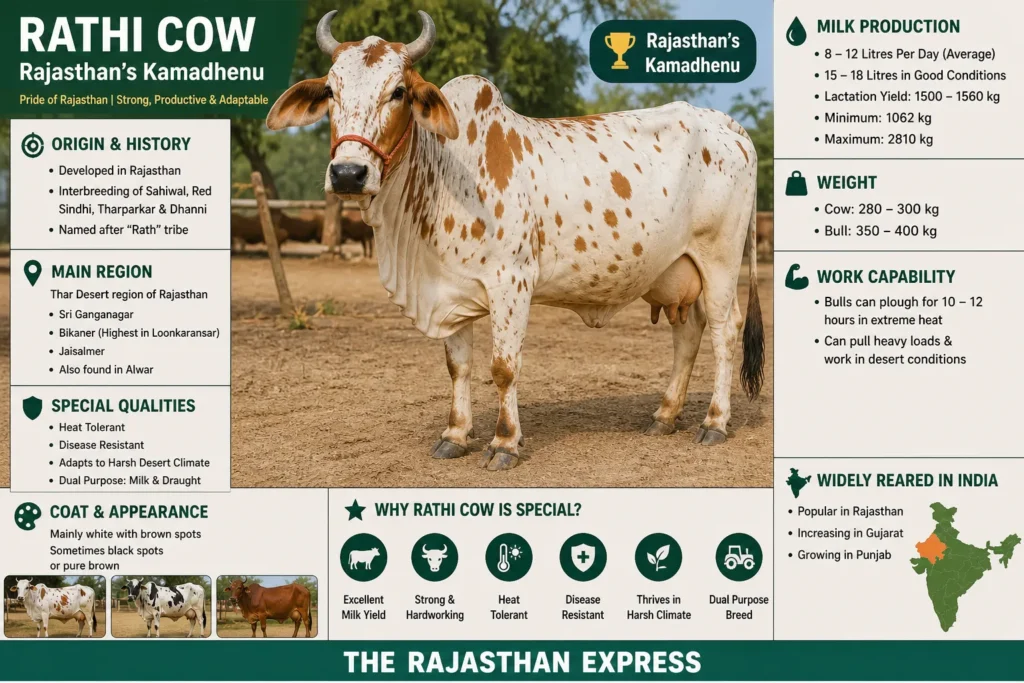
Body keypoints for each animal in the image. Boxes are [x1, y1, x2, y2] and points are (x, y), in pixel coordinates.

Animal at [266, 11, 764, 470]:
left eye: (398, 92)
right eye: (331, 91)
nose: (349, 173)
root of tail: (725, 124)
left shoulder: (512, 282)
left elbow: (503, 368)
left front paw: (504, 442)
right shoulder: (450, 287)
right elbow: (458, 366)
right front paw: (455, 434)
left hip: (719, 261)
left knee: (724, 331)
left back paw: (715, 422)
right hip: (676, 268)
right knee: (689, 333)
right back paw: (664, 415)